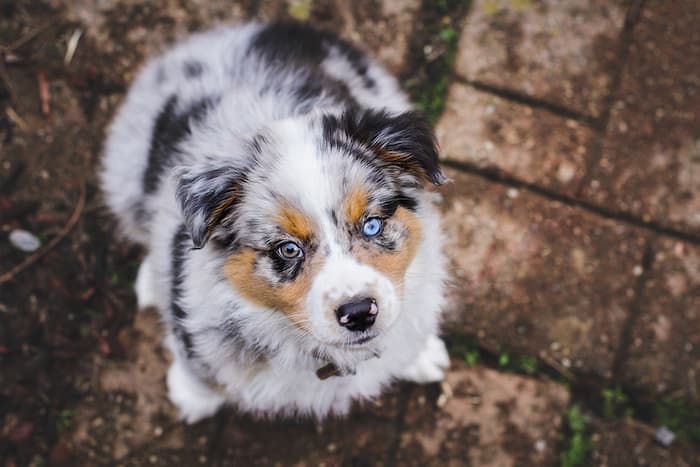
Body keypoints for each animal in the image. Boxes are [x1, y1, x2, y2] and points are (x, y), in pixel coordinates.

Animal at [101, 22, 452, 424]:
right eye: (288, 249)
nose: (359, 312)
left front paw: (420, 354)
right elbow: (199, 368)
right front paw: (191, 397)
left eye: (372, 225)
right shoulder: (195, 326)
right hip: (125, 167)